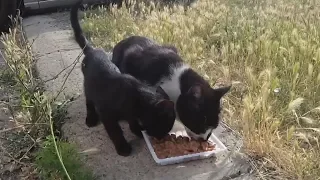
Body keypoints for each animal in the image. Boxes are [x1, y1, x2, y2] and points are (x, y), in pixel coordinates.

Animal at [71, 0, 175, 156]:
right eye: (166, 125)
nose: (161, 137)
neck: (136, 99)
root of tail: (94, 51)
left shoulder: (131, 114)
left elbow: (132, 122)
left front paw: (137, 130)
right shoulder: (107, 114)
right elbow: (115, 132)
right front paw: (123, 148)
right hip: (88, 87)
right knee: (89, 101)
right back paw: (91, 118)